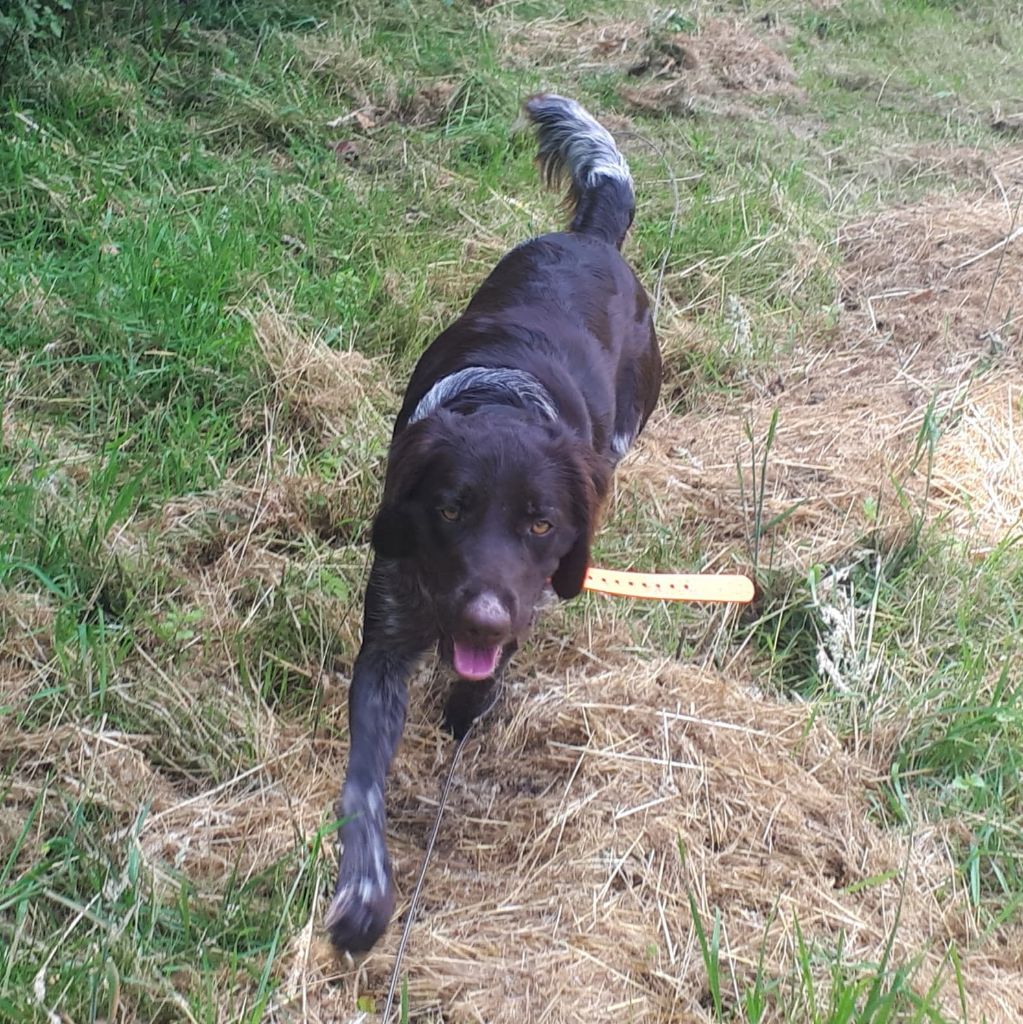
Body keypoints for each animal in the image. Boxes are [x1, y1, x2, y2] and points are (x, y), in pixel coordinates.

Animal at [325, 95, 662, 954]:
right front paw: (365, 894)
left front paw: (468, 706)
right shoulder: (387, 637)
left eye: (541, 526)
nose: (479, 620)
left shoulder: (524, 597)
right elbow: (363, 783)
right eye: (449, 510)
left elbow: (490, 670)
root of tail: (589, 239)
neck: (504, 402)